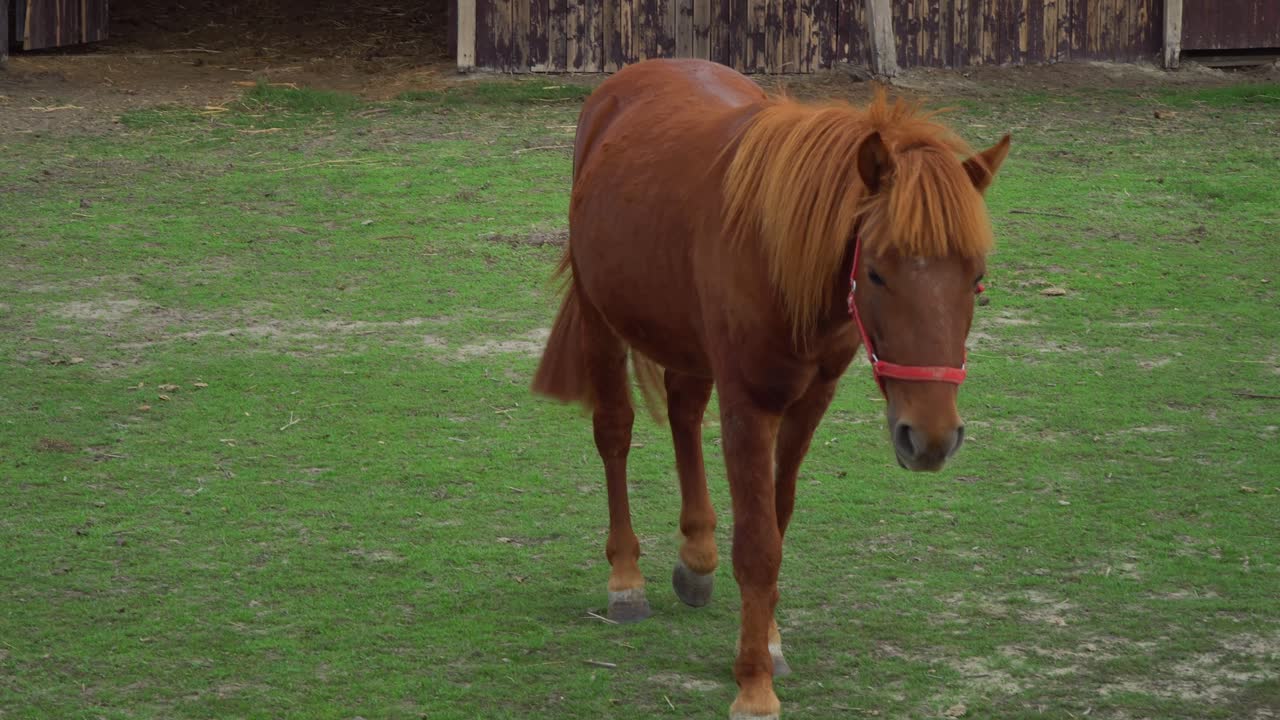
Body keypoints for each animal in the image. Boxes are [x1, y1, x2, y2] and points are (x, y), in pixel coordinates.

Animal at [531, 58, 1010, 720]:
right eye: (877, 272)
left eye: (977, 277)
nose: (932, 438)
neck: (779, 253)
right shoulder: (749, 405)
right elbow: (758, 545)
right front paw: (755, 683)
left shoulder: (811, 400)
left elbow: (777, 523)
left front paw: (771, 642)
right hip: (600, 318)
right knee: (615, 433)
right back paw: (626, 580)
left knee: (683, 413)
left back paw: (697, 558)